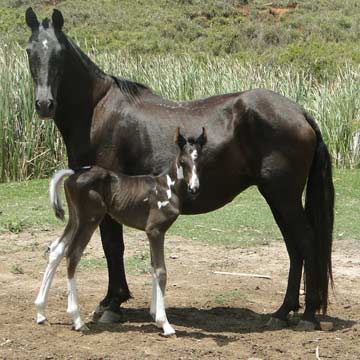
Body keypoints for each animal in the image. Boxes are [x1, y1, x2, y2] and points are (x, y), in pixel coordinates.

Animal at [26, 7, 334, 330]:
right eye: (30, 50)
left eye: (59, 53)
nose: (44, 104)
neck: (98, 111)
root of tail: (300, 112)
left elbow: (112, 246)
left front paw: (112, 303)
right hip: (277, 197)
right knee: (293, 247)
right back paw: (283, 311)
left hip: (283, 195)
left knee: (306, 241)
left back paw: (308, 315)